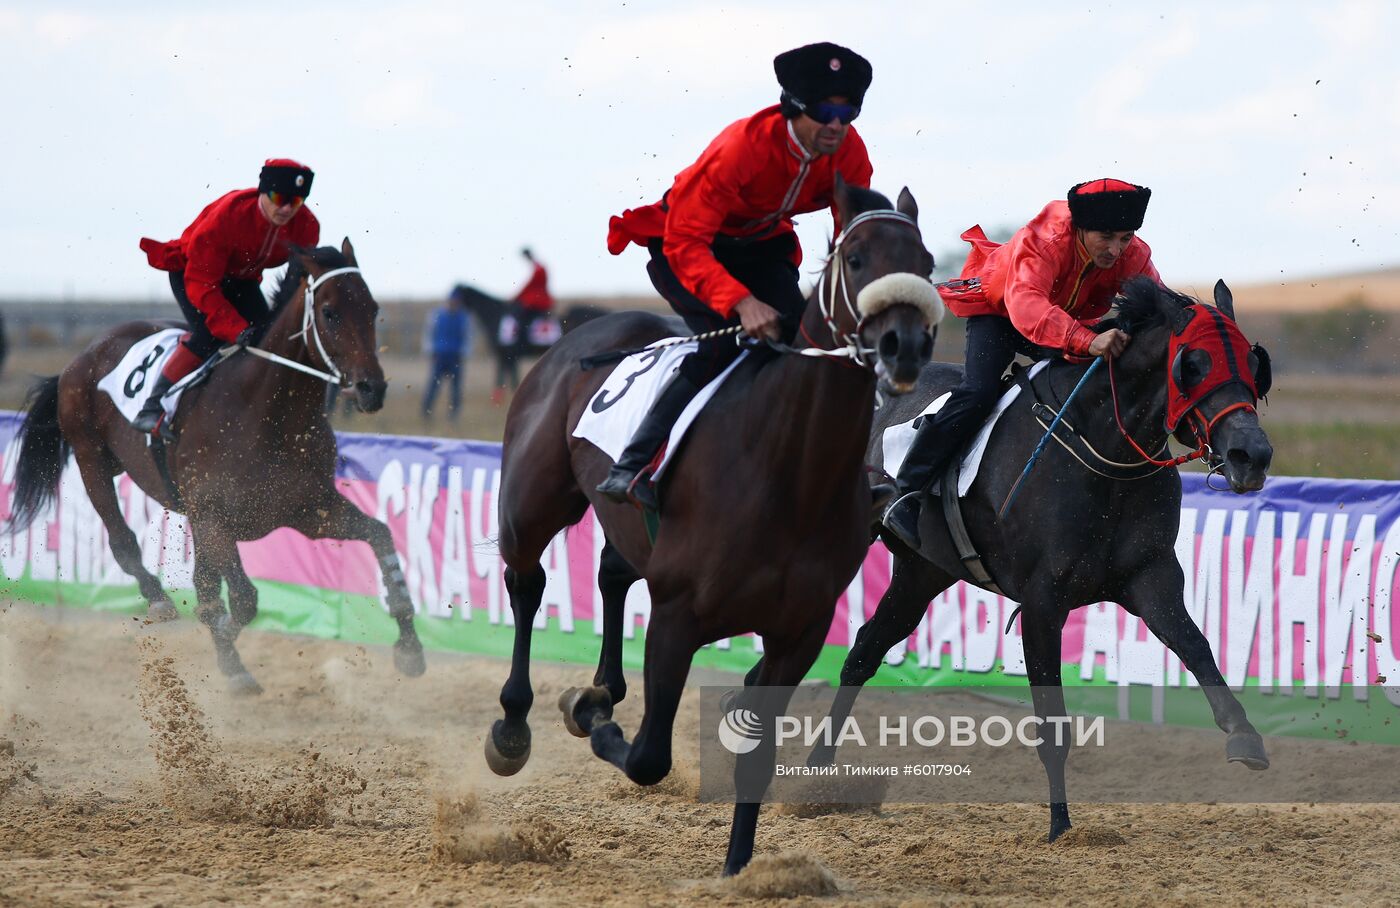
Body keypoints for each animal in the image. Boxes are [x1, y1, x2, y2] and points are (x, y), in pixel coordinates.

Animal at [5, 240, 425, 693]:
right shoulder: (214, 518)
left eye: (372, 308)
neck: (265, 412)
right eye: (329, 311)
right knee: (123, 543)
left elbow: (380, 535)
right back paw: (158, 599)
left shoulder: (308, 510)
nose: (371, 388)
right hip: (91, 460)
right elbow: (241, 599)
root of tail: (82, 356)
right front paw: (229, 655)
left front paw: (410, 648)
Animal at [445, 282, 604, 397]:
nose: (449, 305)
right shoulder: (508, 355)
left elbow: (503, 375)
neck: (496, 314)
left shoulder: (505, 354)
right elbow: (509, 375)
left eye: (457, 293)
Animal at [487, 180, 946, 873]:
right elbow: (648, 757)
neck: (791, 473)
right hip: (532, 501)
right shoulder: (678, 615)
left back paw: (603, 686)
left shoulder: (798, 633)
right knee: (526, 582)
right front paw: (588, 714)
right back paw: (516, 724)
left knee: (612, 571)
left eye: (927, 263)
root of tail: (581, 335)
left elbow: (756, 759)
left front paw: (737, 869)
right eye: (858, 258)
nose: (906, 345)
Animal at [812, 274, 1282, 845]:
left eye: (1253, 364)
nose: (1250, 456)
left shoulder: (1151, 578)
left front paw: (1244, 735)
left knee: (865, 649)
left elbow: (1197, 646)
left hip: (923, 572)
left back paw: (817, 771)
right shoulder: (1042, 603)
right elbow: (1052, 722)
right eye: (1192, 365)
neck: (1102, 452)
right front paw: (1061, 823)